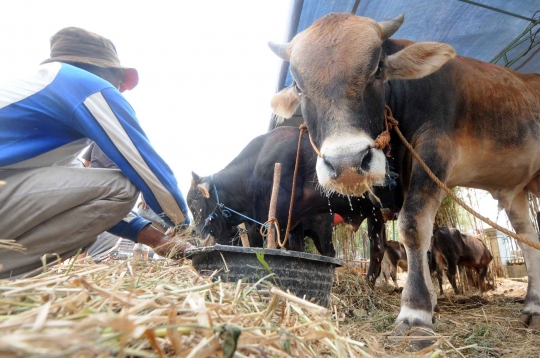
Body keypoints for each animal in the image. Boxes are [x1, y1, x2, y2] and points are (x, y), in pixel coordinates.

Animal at [187, 127, 388, 284]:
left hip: (330, 229)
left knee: (350, 251)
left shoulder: (274, 222)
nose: (201, 238)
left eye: (194, 202)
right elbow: (295, 249)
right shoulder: (290, 225)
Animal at [268, 14, 540, 344]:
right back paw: (533, 306)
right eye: (298, 85)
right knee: (528, 238)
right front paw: (432, 303)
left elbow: (413, 225)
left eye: (377, 70)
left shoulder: (435, 149)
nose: (347, 162)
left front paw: (416, 312)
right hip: (515, 190)